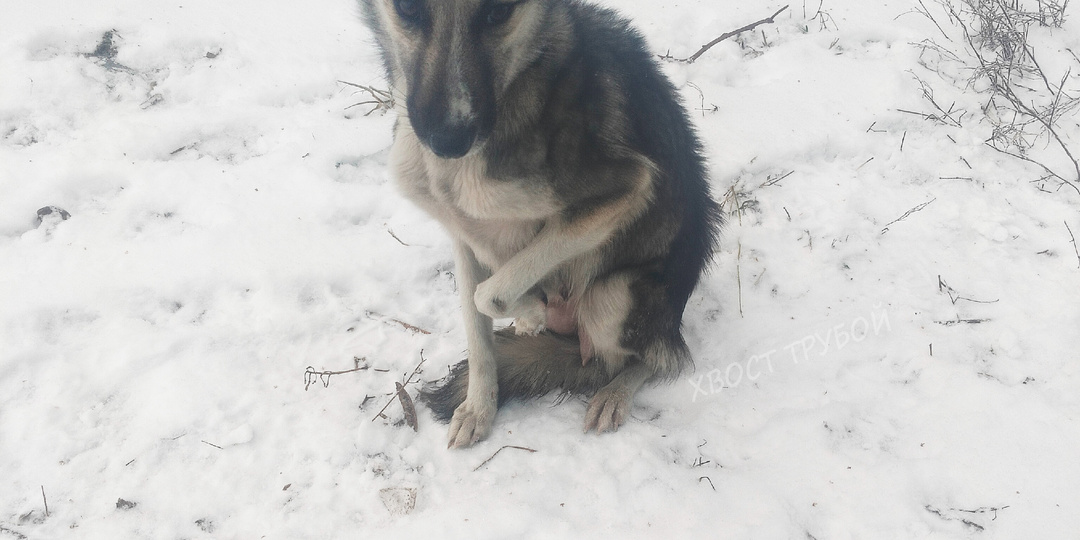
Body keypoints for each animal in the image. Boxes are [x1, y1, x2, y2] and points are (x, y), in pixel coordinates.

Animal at [358, 0, 721, 447]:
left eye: (498, 13)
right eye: (407, 9)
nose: (448, 141)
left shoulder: (624, 190)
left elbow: (488, 294)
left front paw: (532, 309)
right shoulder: (462, 235)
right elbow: (478, 334)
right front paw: (479, 408)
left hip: (612, 296)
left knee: (650, 359)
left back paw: (613, 393)